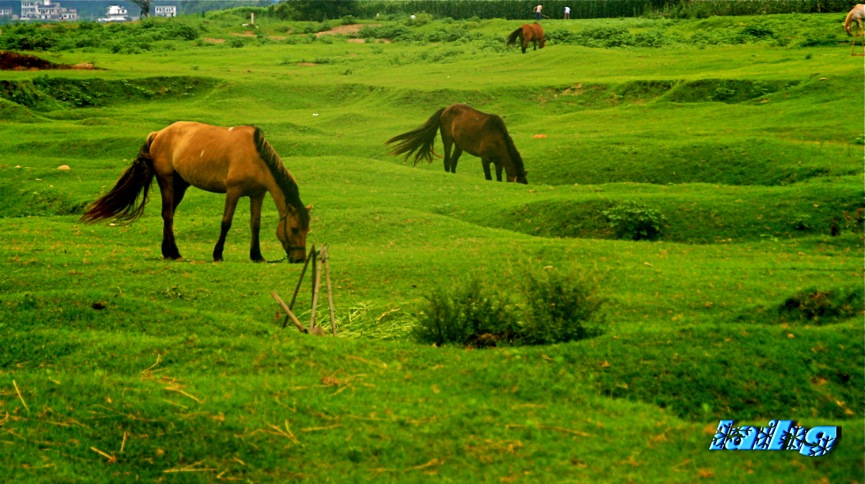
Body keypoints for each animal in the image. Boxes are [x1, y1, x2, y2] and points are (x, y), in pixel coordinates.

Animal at [79, 121, 312, 264]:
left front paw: (256, 256)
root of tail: (158, 134)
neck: (255, 157)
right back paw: (174, 253)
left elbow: (255, 224)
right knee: (168, 214)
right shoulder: (233, 191)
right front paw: (217, 254)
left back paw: (167, 251)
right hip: (167, 180)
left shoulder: (257, 194)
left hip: (181, 185)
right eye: (293, 229)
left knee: (168, 215)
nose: (299, 259)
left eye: (307, 230)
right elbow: (226, 223)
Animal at [384, 103, 528, 184]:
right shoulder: (485, 159)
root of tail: (446, 109)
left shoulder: (498, 162)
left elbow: (498, 178)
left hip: (459, 145)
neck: (496, 136)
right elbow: (488, 177)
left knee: (453, 161)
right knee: (447, 160)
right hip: (448, 140)